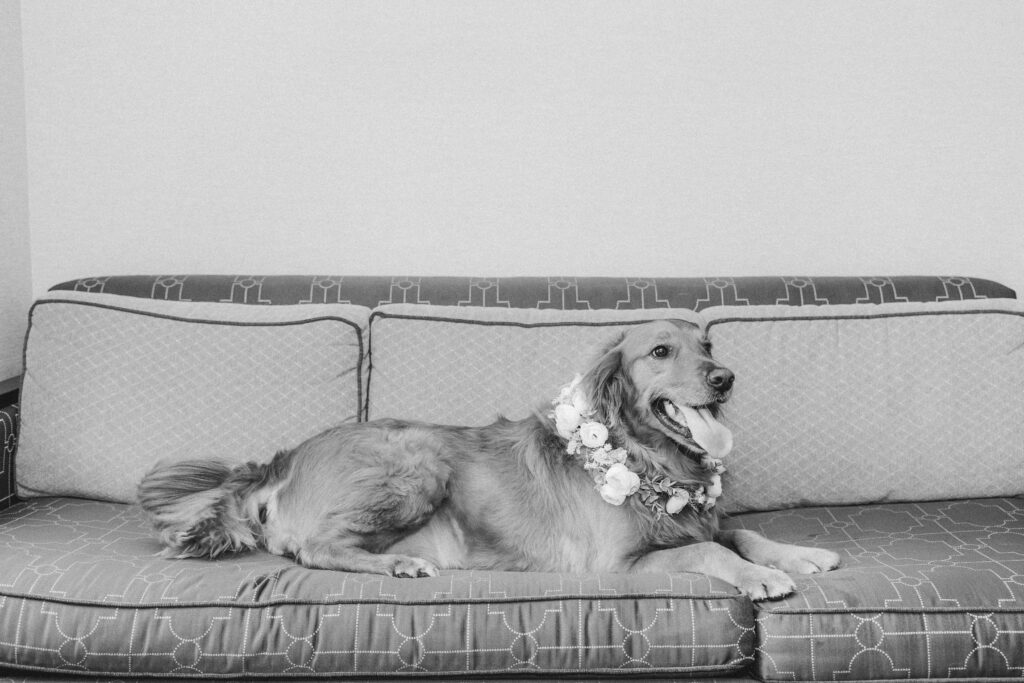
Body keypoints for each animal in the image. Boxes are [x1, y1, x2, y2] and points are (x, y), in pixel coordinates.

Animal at [136, 319, 839, 598]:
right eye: (661, 352)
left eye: (709, 345)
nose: (725, 378)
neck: (654, 461)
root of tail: (277, 463)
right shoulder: (618, 564)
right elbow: (711, 550)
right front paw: (762, 577)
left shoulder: (701, 515)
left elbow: (739, 531)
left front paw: (798, 554)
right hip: (416, 461)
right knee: (315, 549)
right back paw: (398, 565)